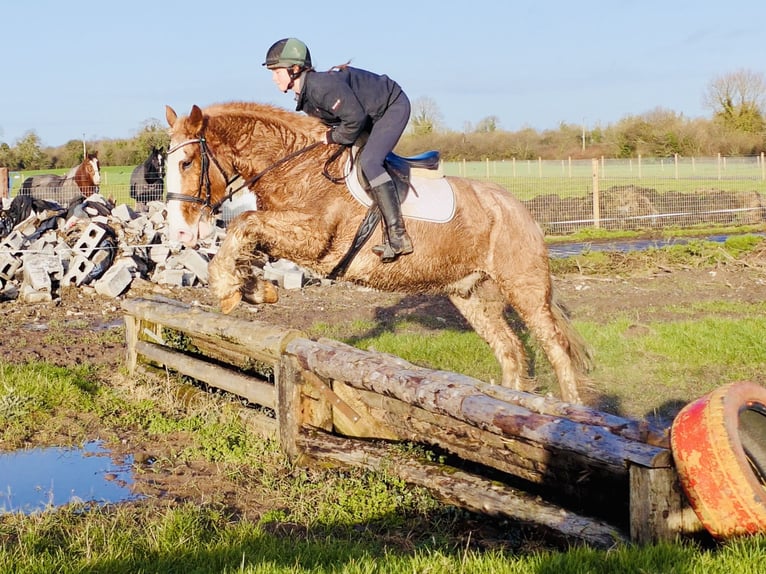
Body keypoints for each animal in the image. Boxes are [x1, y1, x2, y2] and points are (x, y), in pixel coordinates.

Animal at [164, 102, 592, 404]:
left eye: (187, 162)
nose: (180, 232)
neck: (297, 168)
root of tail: (517, 207)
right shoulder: (286, 232)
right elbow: (247, 235)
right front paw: (252, 288)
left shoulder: (315, 239)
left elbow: (243, 223)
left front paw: (228, 290)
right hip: (470, 293)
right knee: (510, 348)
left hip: (524, 286)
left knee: (555, 347)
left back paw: (570, 413)